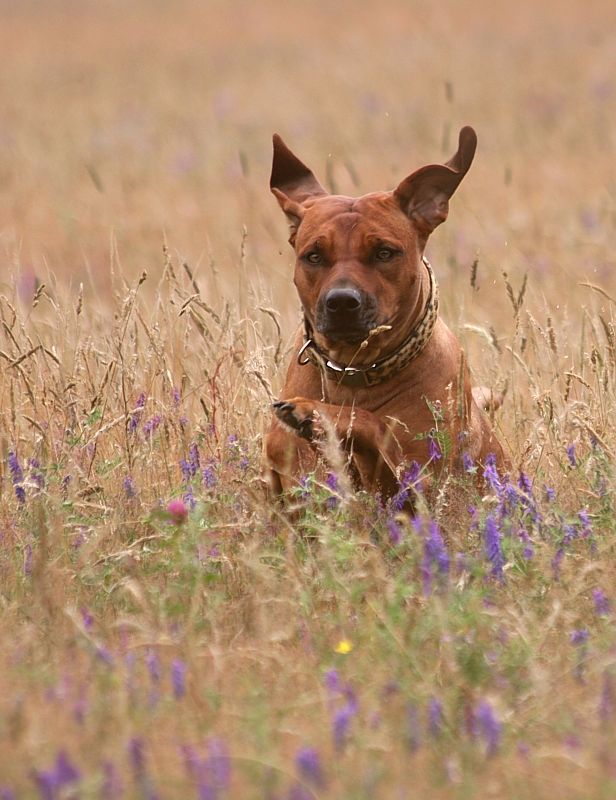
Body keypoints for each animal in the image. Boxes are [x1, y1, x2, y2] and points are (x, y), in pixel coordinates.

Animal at [264, 127, 506, 496]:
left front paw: (315, 413)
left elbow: (375, 426)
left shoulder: (425, 479)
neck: (354, 372)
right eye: (314, 256)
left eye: (384, 252)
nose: (342, 302)